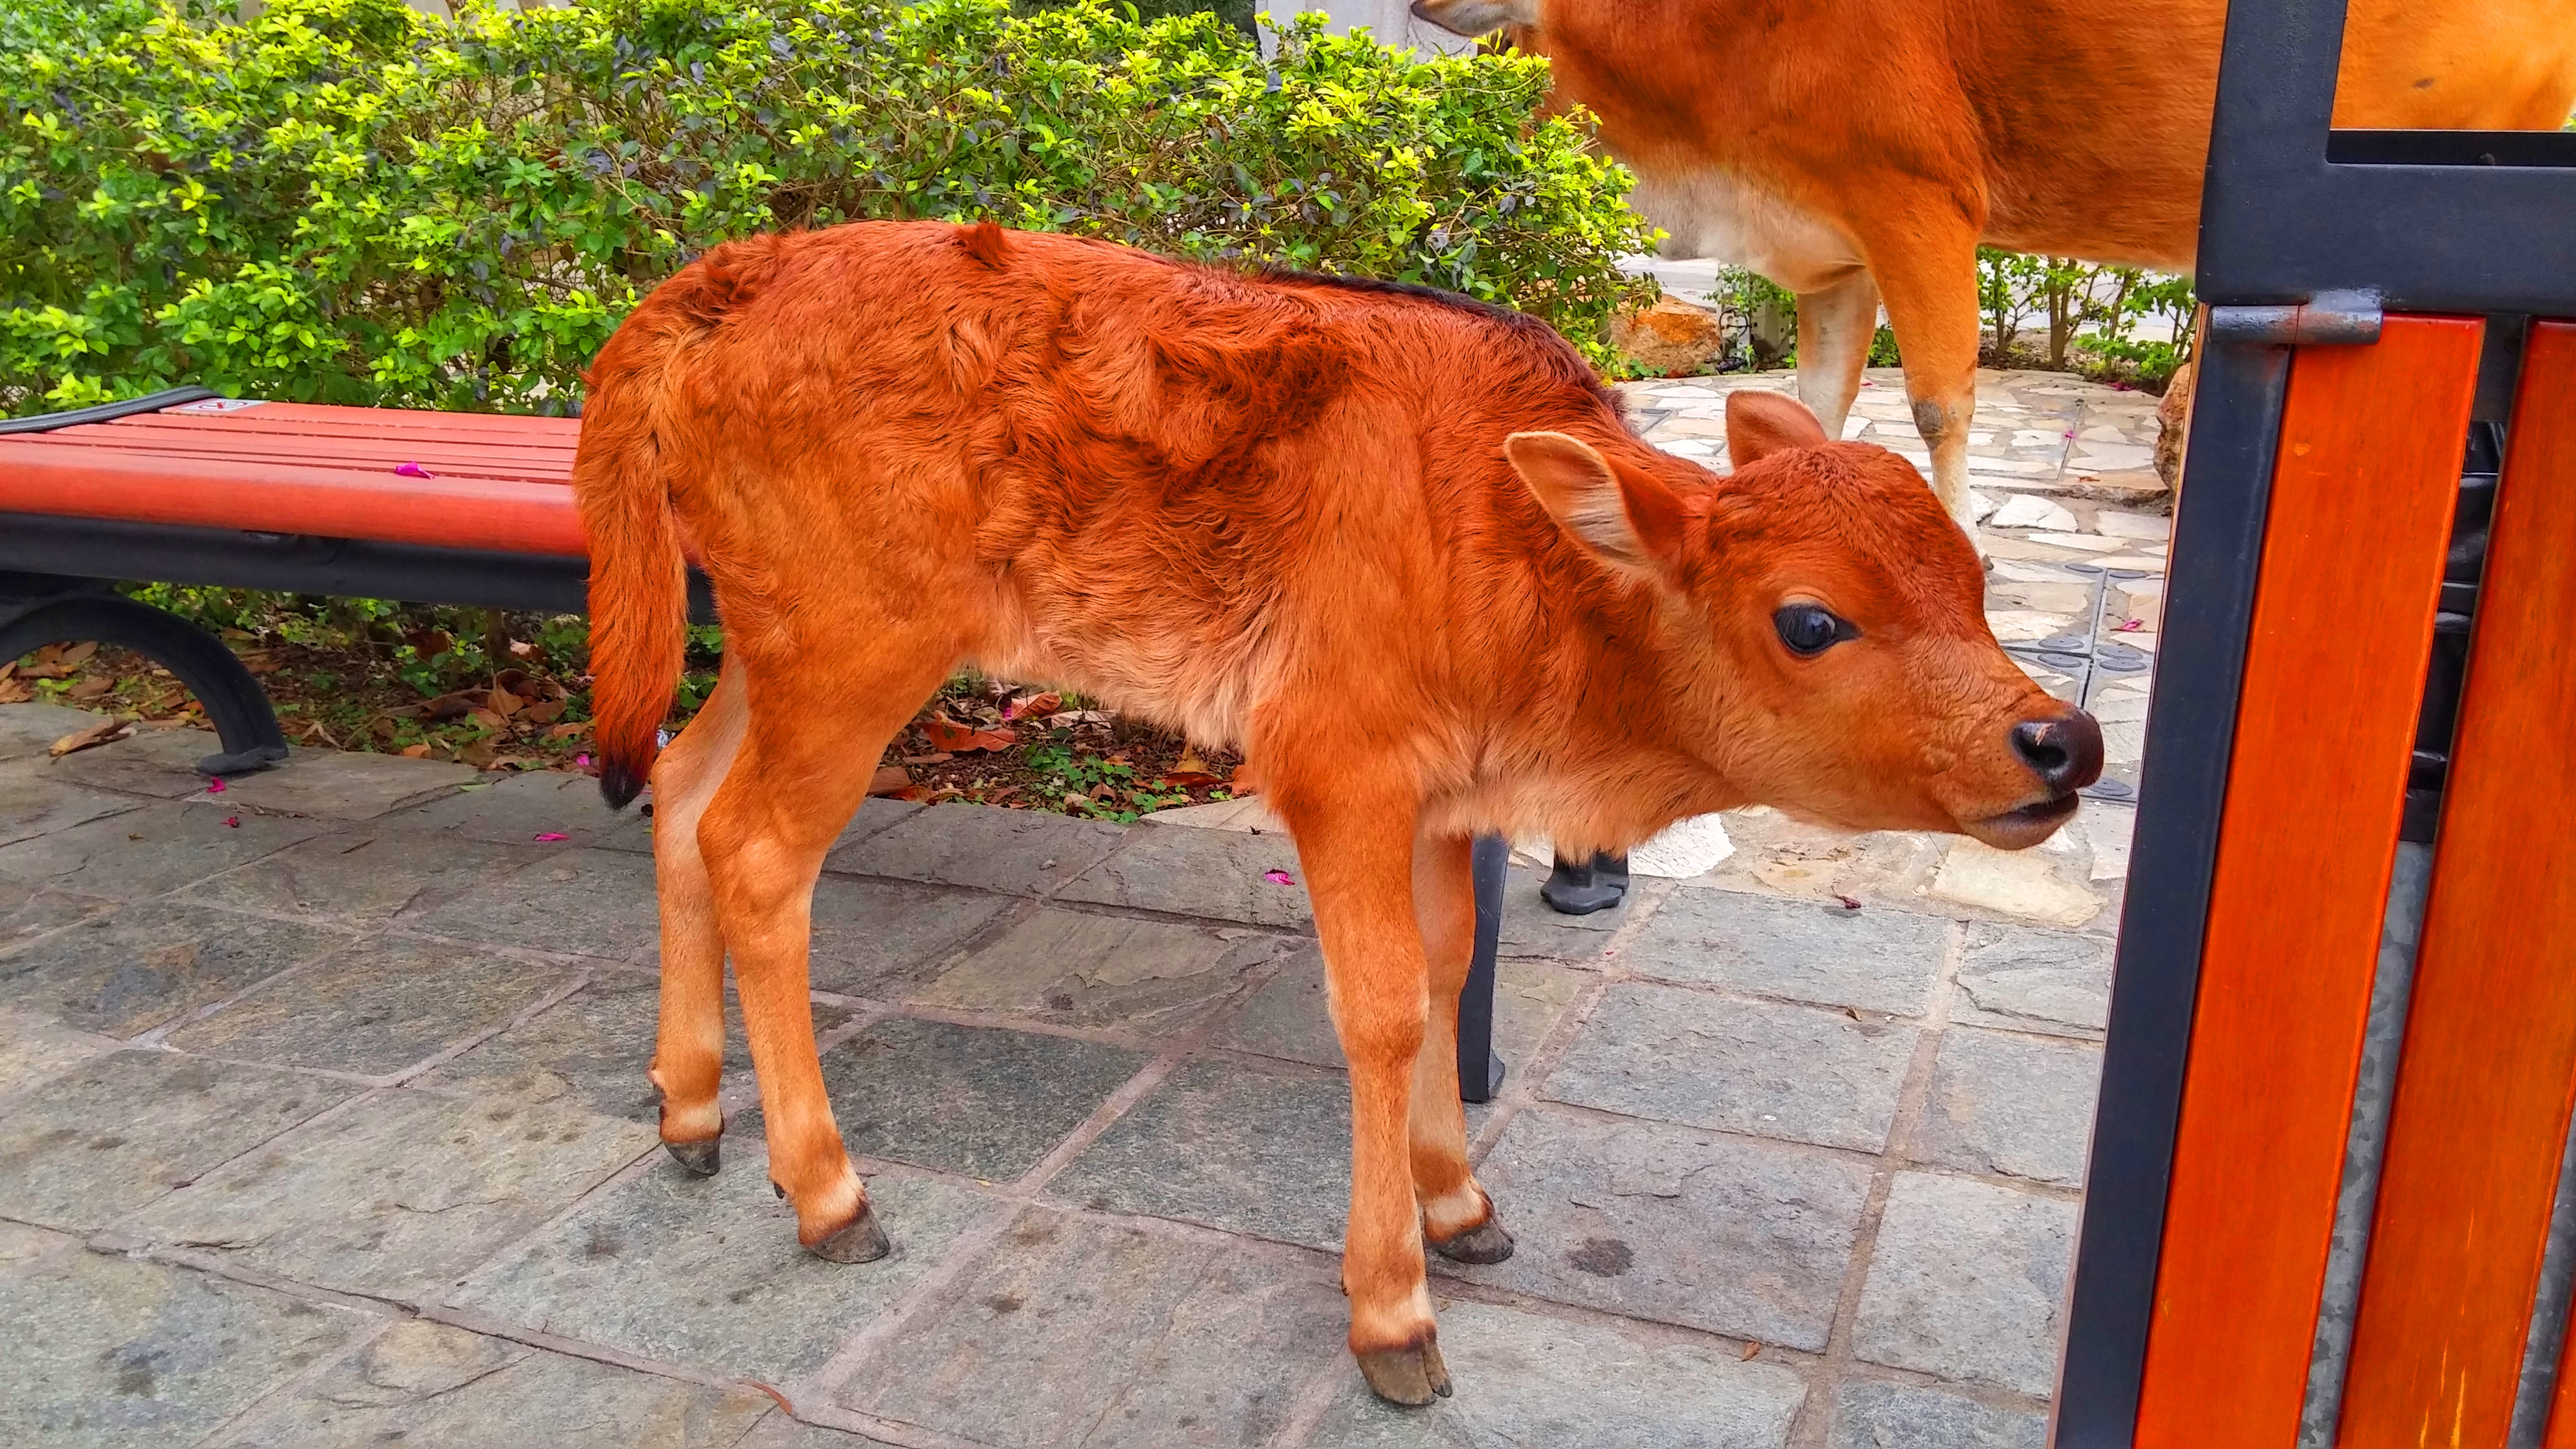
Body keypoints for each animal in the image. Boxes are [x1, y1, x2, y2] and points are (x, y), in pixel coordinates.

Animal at [574, 220, 2102, 1403]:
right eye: (1809, 620)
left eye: (1973, 573)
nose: (2064, 741)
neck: (1501, 534)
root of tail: (721, 281)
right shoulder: (1333, 771)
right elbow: (1377, 1008)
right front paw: (1393, 1314)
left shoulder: (1443, 805)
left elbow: (1443, 970)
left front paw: (1461, 1206)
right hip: (854, 660)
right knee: (756, 855)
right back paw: (828, 1194)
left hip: (769, 654)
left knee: (678, 794)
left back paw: (691, 1113)